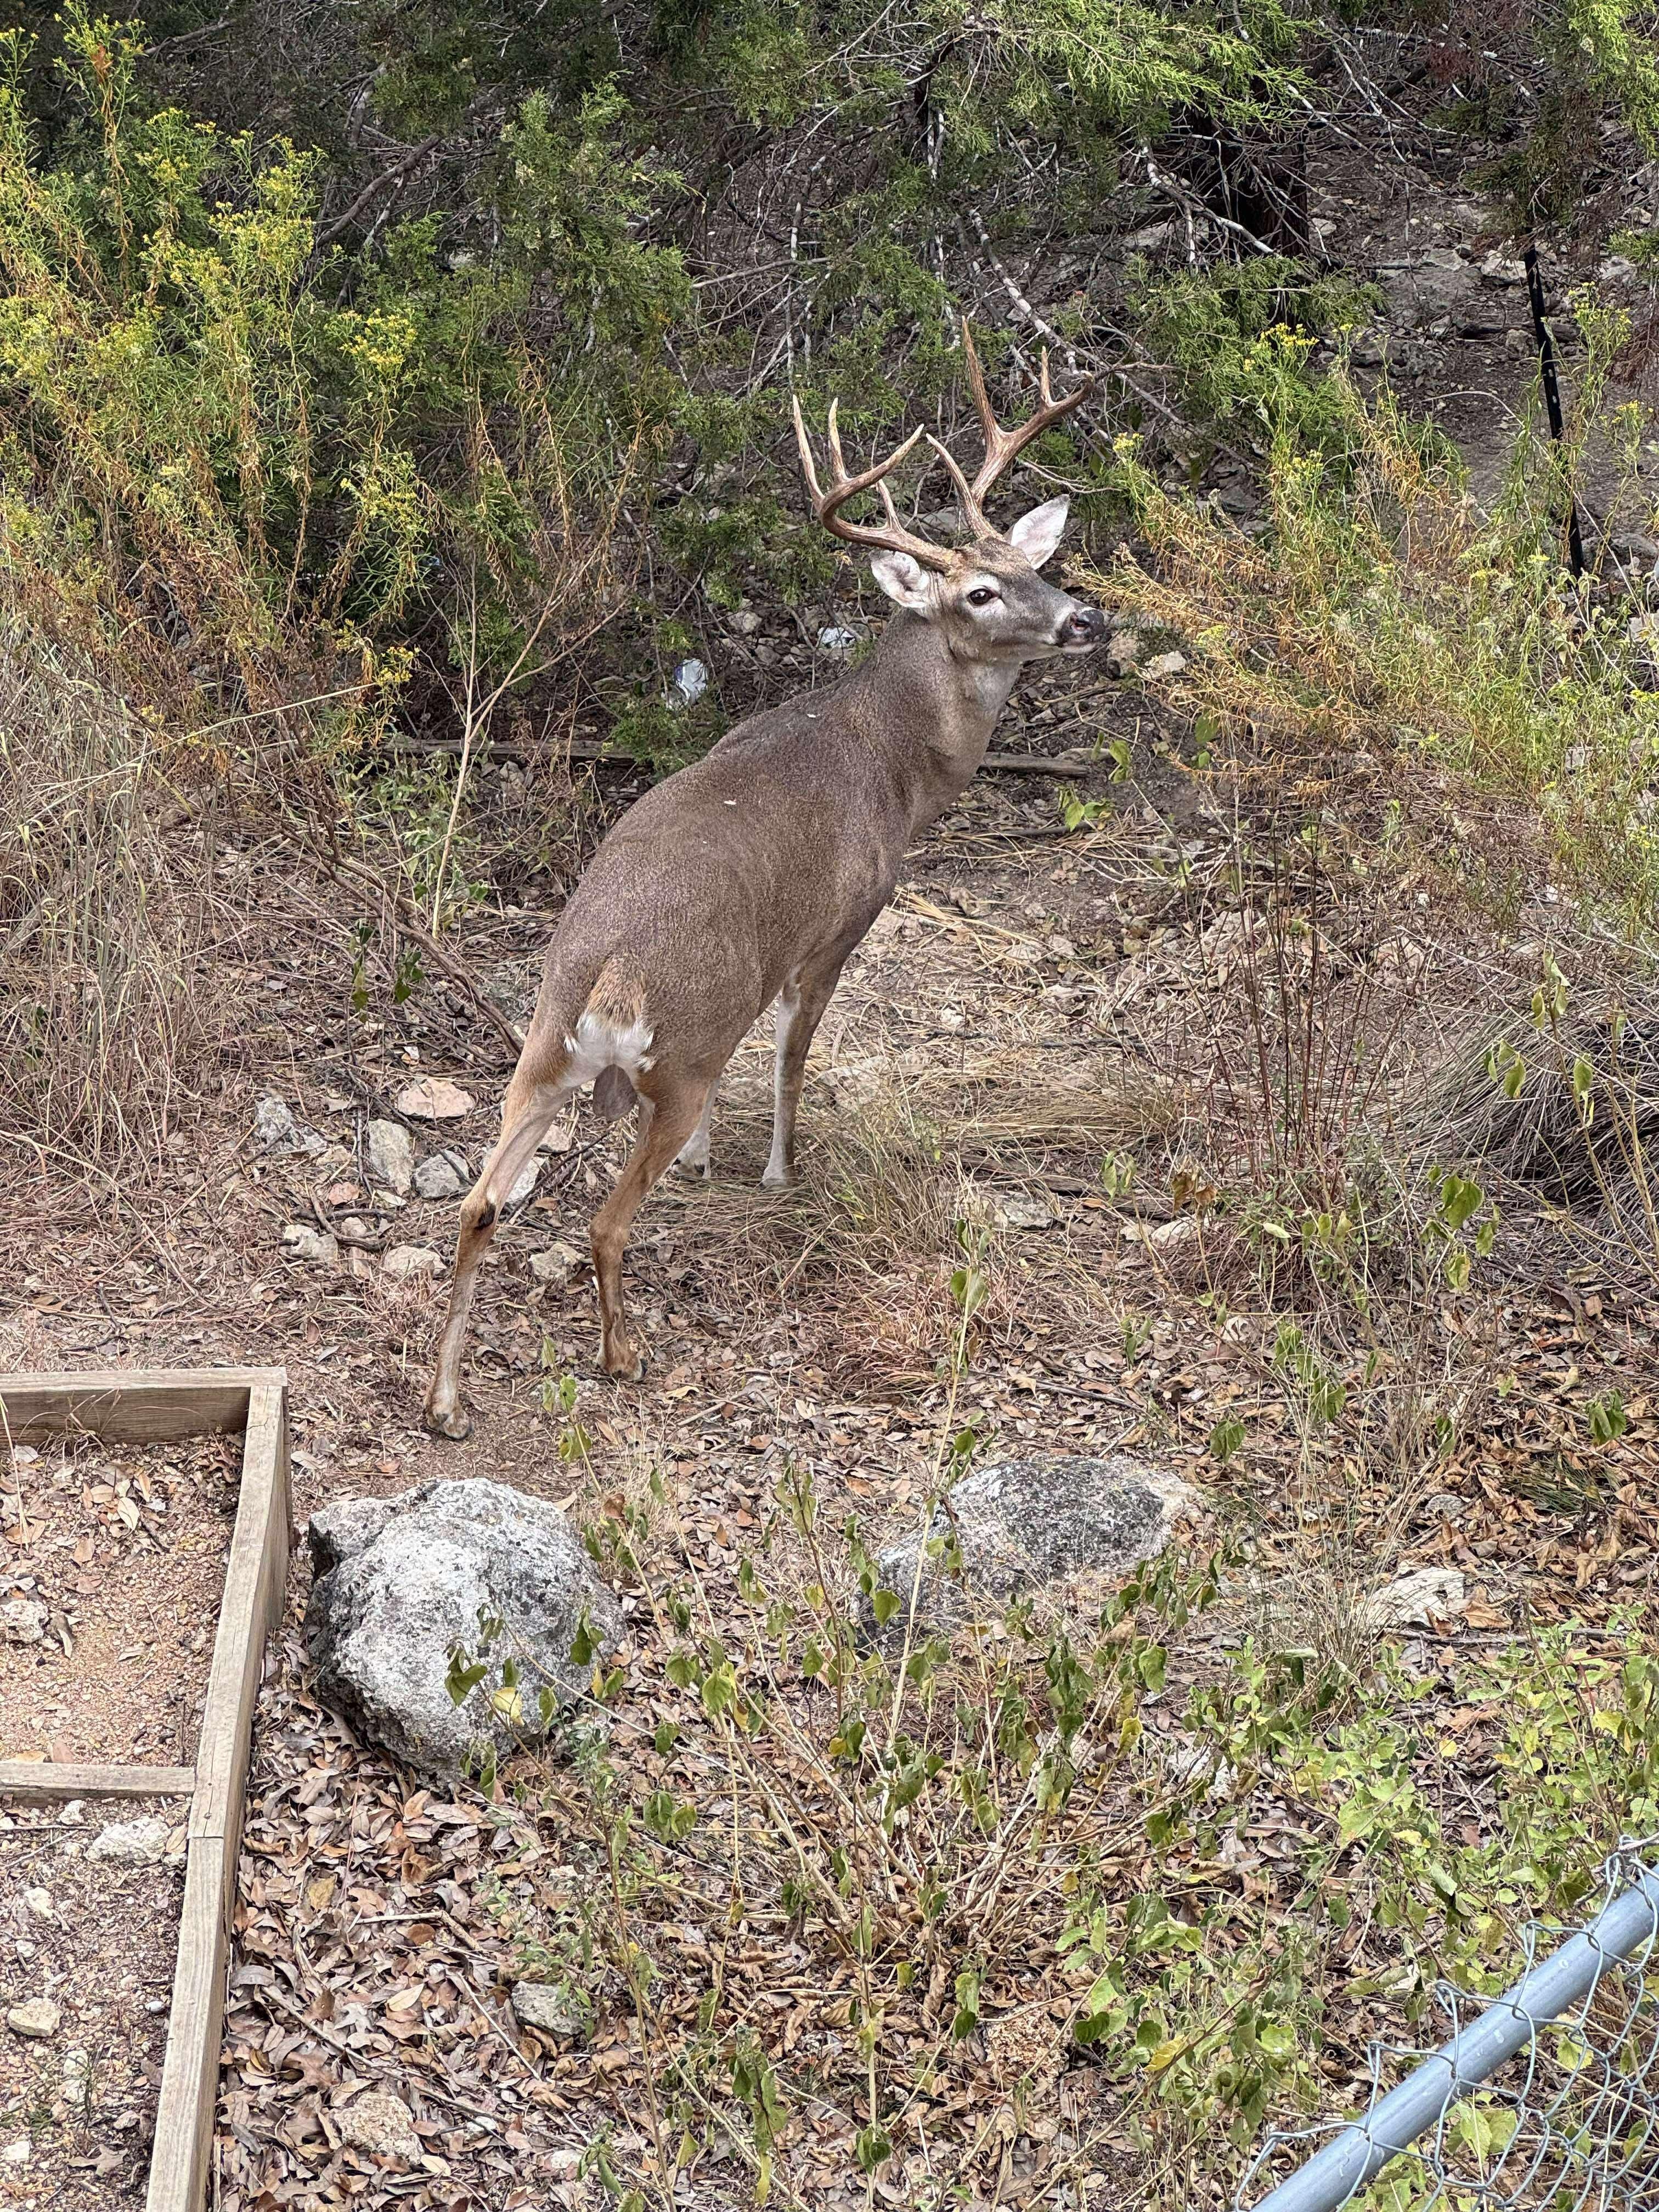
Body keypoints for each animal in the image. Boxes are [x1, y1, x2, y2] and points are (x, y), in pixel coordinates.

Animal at [423, 331, 1104, 1438]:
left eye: (1030, 564)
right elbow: (791, 1055)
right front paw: (781, 1171)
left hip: (543, 1047)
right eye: (978, 594)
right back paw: (621, 1354)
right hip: (683, 1049)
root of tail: (609, 980)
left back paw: (445, 1402)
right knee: (606, 1222)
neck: (896, 762)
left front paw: (709, 1159)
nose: (1086, 619)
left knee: (479, 1203)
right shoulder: (842, 920)